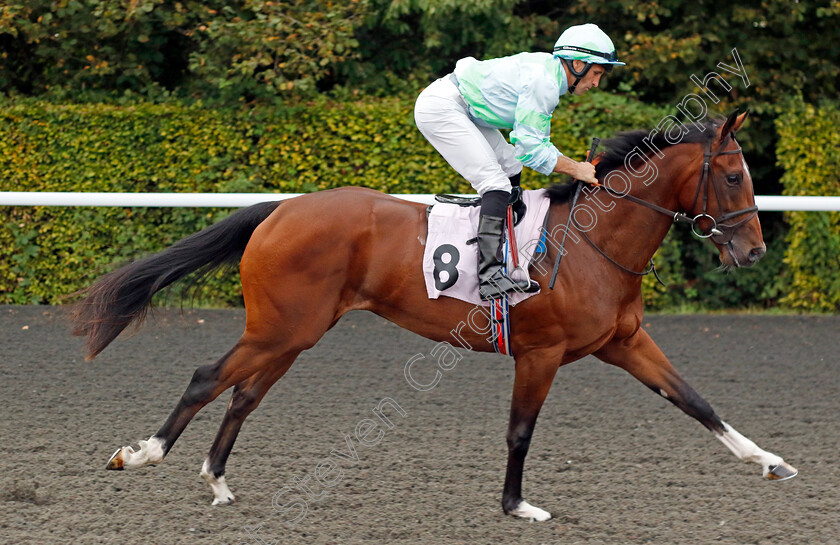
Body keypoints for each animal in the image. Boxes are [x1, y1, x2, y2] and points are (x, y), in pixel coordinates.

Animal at [70, 109, 796, 520]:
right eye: (734, 176)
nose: (754, 250)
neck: (594, 242)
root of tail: (282, 208)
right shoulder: (541, 354)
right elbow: (520, 431)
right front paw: (516, 505)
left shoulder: (626, 341)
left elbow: (696, 401)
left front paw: (769, 462)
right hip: (280, 327)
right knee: (206, 376)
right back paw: (141, 454)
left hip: (293, 333)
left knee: (244, 393)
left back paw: (218, 482)